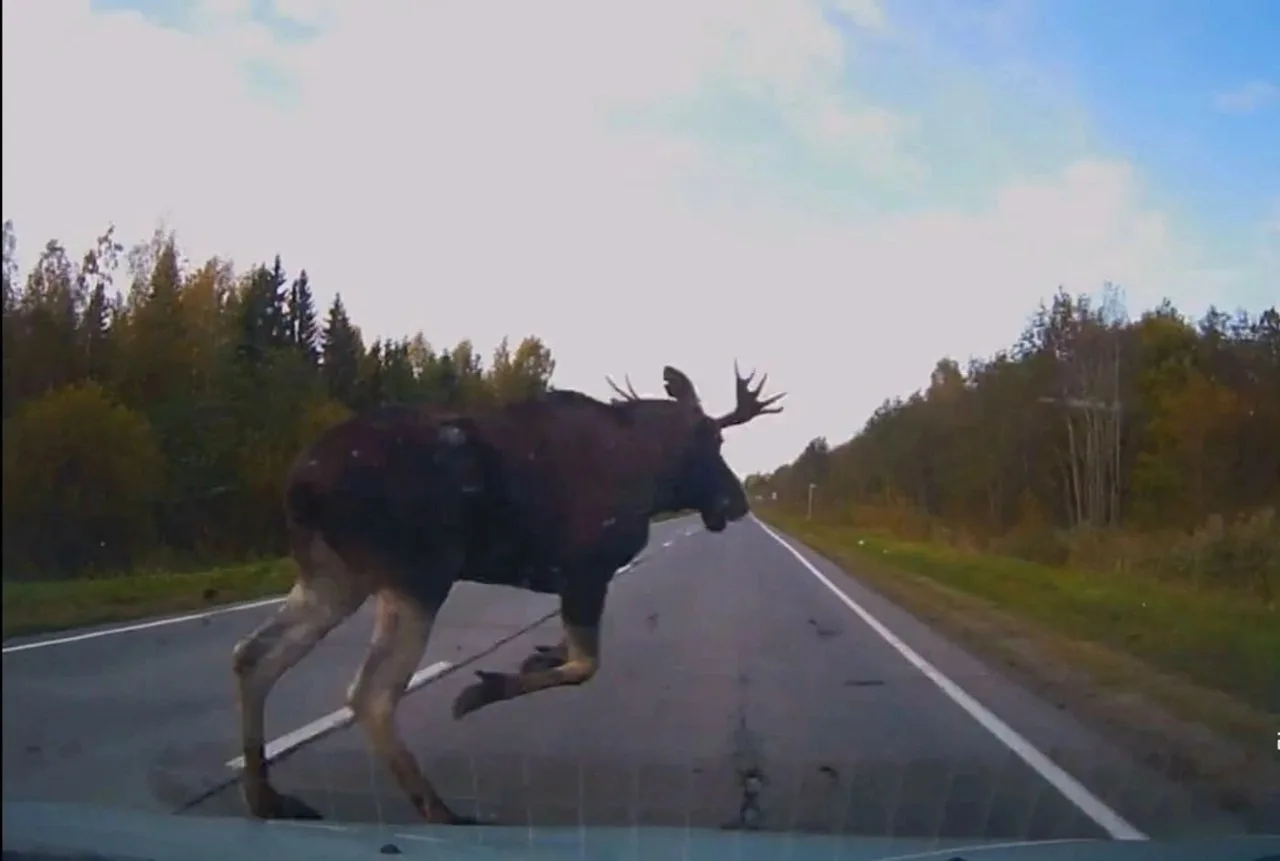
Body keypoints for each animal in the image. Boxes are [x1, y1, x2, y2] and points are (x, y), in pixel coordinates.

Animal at [231, 363, 784, 825]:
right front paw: (483, 690)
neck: (651, 478)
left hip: (334, 577)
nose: (737, 502)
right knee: (370, 694)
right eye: (713, 438)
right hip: (418, 576)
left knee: (253, 655)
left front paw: (539, 653)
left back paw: (267, 798)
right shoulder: (586, 573)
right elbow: (585, 665)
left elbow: (571, 655)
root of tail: (301, 484)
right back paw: (441, 812)